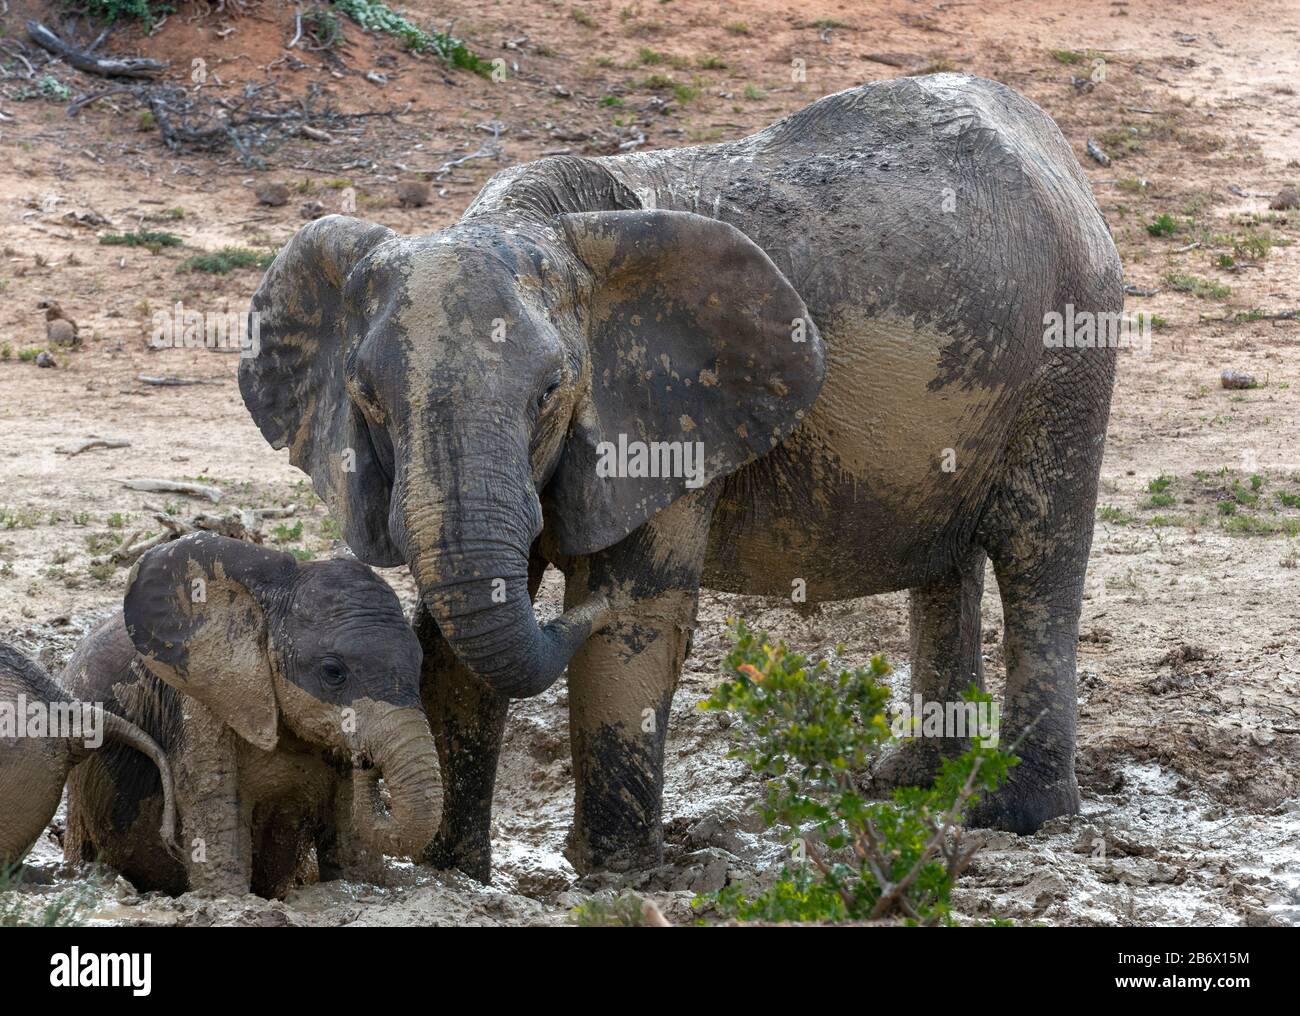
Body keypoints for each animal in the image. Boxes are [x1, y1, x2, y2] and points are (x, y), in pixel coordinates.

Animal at [62, 532, 441, 899]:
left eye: (420, 663)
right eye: (333, 672)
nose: (366, 759)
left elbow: (351, 844)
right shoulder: (198, 706)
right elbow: (217, 810)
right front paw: (227, 900)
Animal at [239, 75, 1123, 878]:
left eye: (551, 391)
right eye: (367, 398)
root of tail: (1057, 151)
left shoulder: (666, 412)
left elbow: (636, 615)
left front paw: (611, 876)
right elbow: (450, 641)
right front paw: (451, 875)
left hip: (1068, 355)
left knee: (1038, 555)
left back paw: (1011, 816)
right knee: (949, 566)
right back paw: (915, 784)